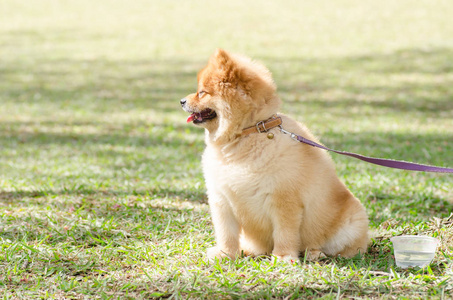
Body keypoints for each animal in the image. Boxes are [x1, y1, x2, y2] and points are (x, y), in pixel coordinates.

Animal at [179, 49, 368, 262]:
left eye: (202, 92)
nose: (181, 101)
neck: (246, 134)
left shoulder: (283, 199)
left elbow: (284, 232)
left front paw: (283, 257)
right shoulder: (222, 199)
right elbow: (226, 232)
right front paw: (224, 254)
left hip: (351, 223)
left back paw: (314, 253)